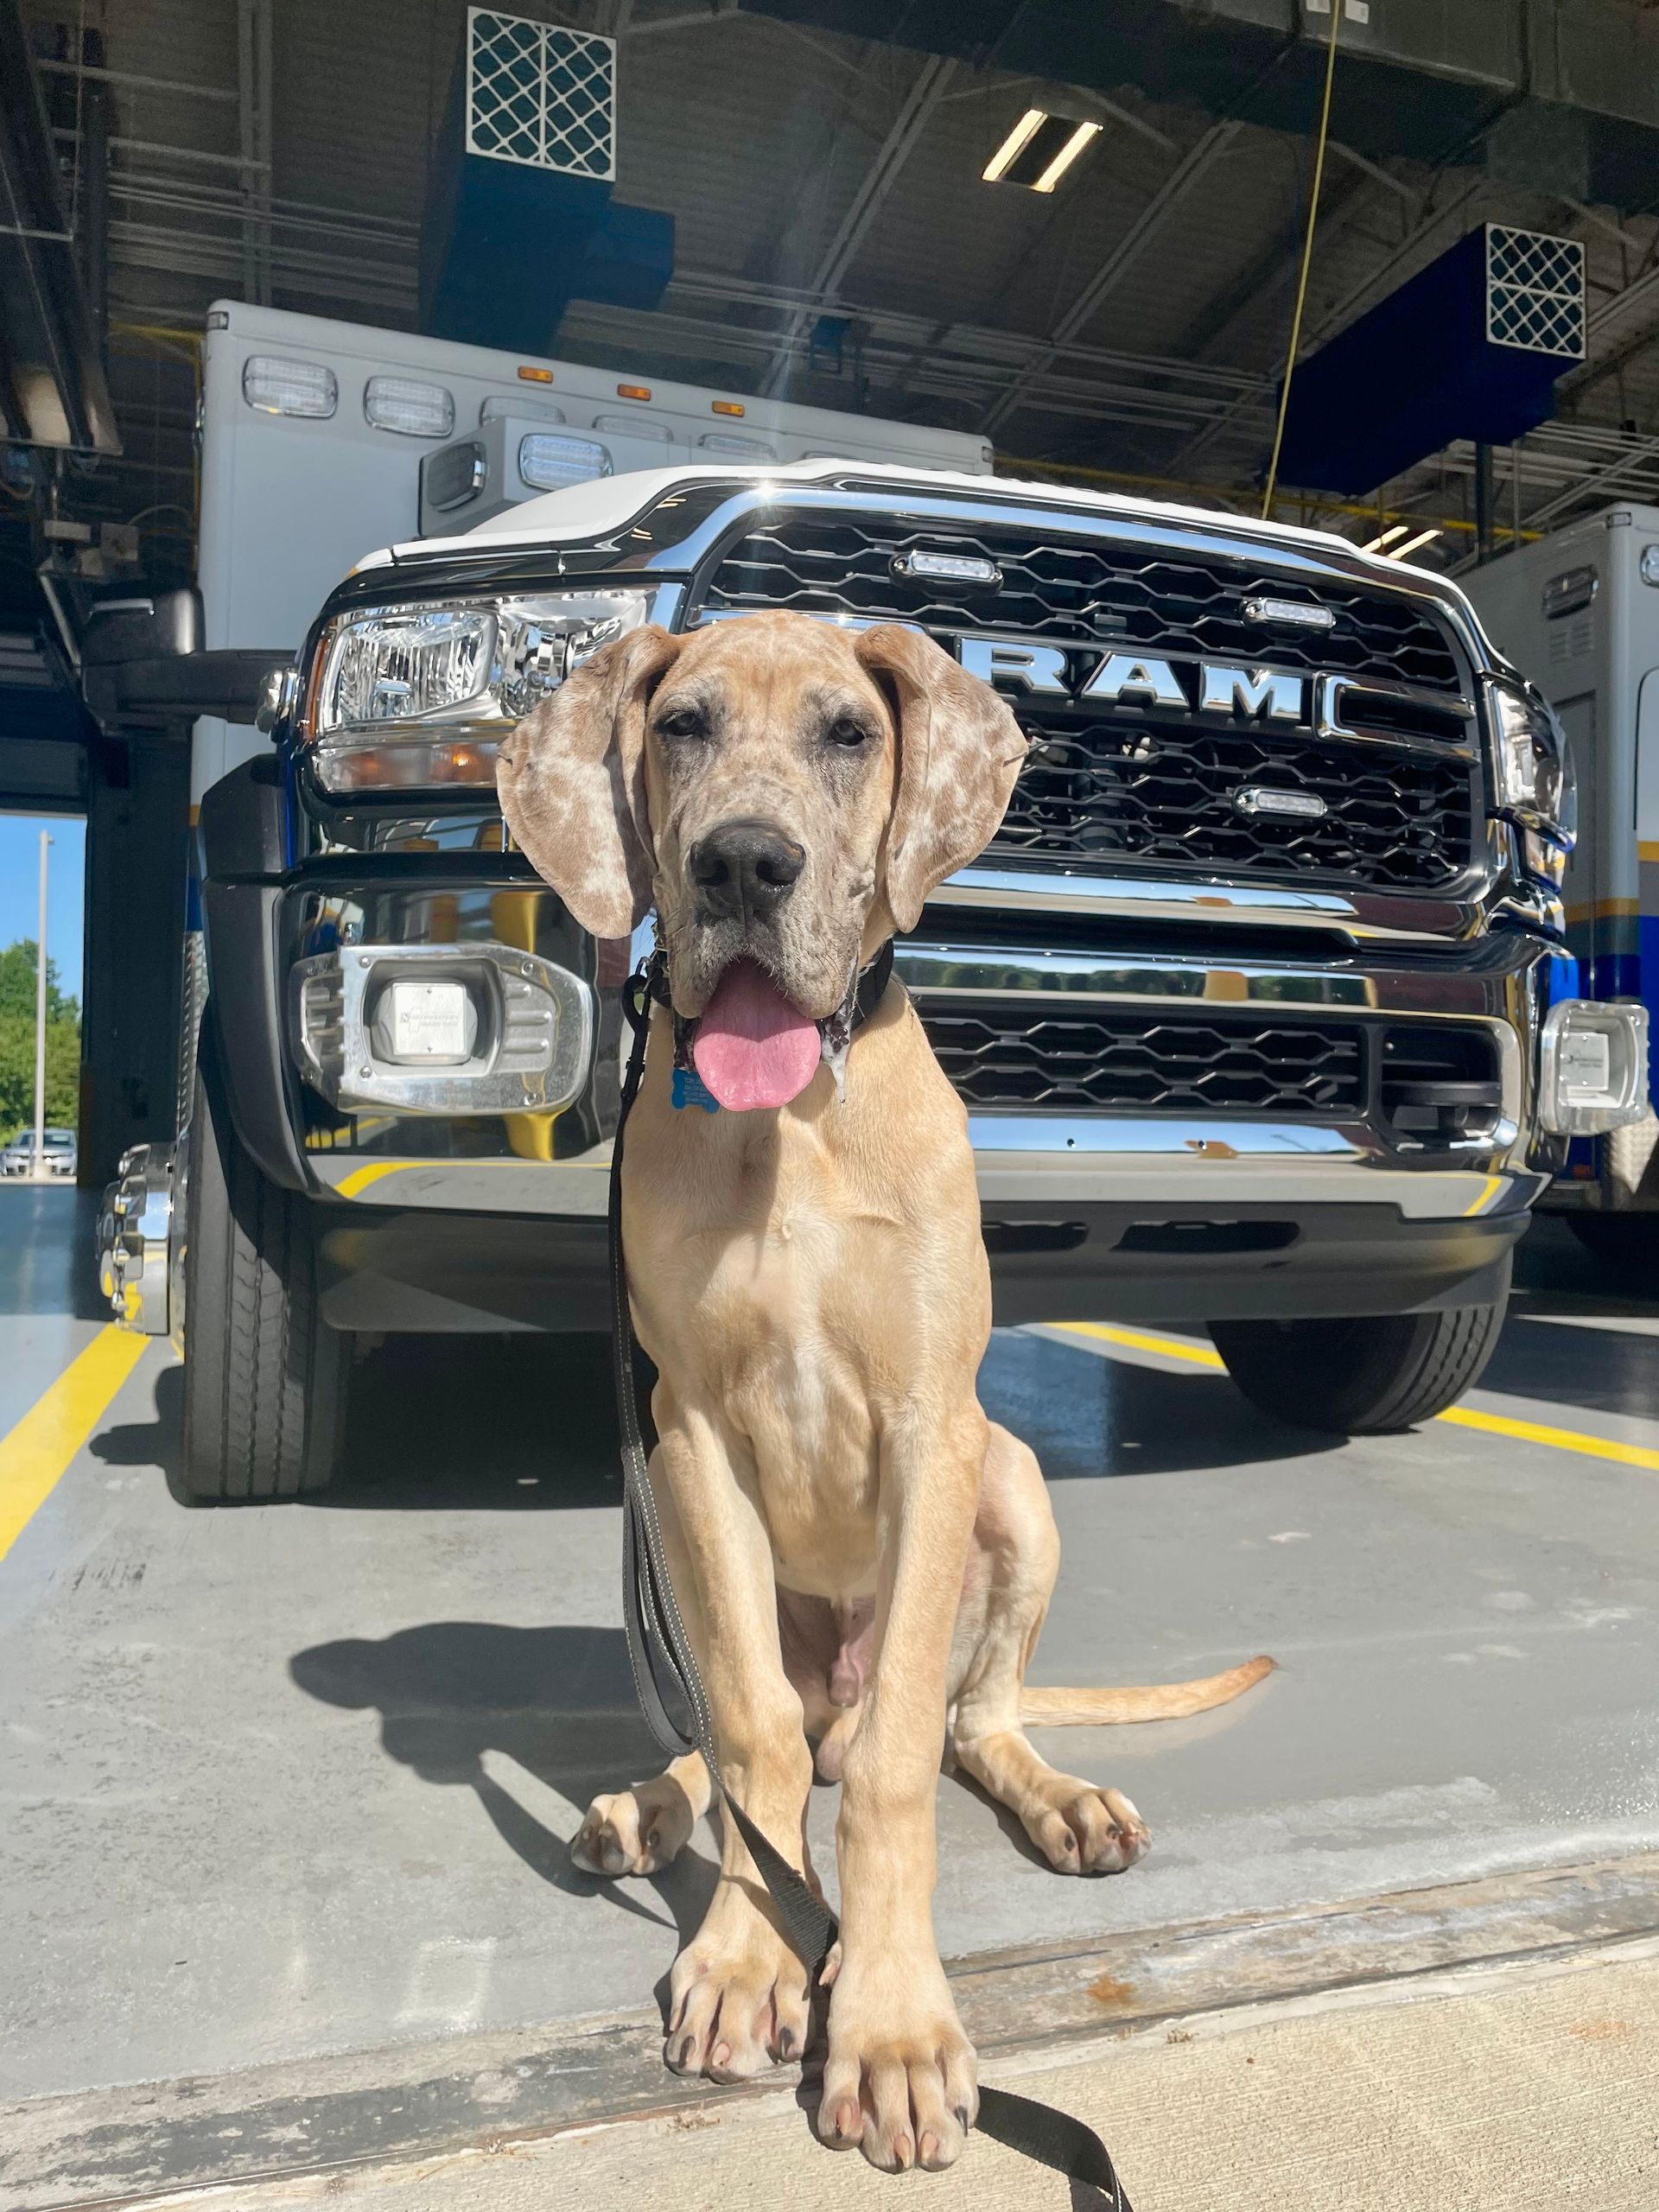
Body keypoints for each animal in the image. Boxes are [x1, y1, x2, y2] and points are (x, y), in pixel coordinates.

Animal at [498, 614, 1274, 2167]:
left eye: (849, 733)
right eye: (680, 725)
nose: (744, 864)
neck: (788, 1124)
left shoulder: (933, 1427)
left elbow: (908, 1764)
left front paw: (895, 2018)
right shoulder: (690, 1435)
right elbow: (744, 1733)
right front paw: (751, 1956)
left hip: (1015, 1482)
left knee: (973, 1722)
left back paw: (1061, 1799)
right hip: (687, 1551)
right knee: (750, 1739)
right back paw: (646, 1810)